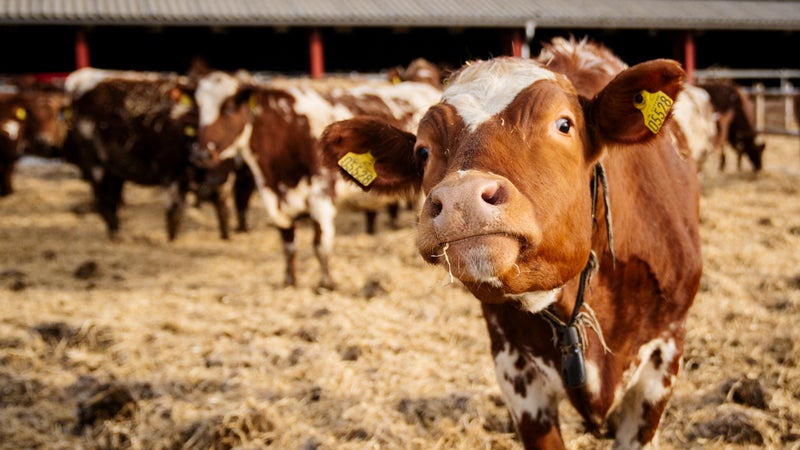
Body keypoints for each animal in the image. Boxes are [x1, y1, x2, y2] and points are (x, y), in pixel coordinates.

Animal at [63, 67, 234, 241]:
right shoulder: (170, 174)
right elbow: (174, 213)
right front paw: (172, 240)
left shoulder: (222, 181)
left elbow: (223, 210)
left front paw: (226, 236)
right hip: (95, 163)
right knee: (104, 200)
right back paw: (115, 234)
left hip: (113, 170)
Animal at [191, 72, 441, 291]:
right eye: (197, 110)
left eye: (229, 108)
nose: (202, 154)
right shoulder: (275, 201)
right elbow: (288, 244)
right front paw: (290, 280)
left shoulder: (321, 196)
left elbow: (320, 245)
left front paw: (326, 283)